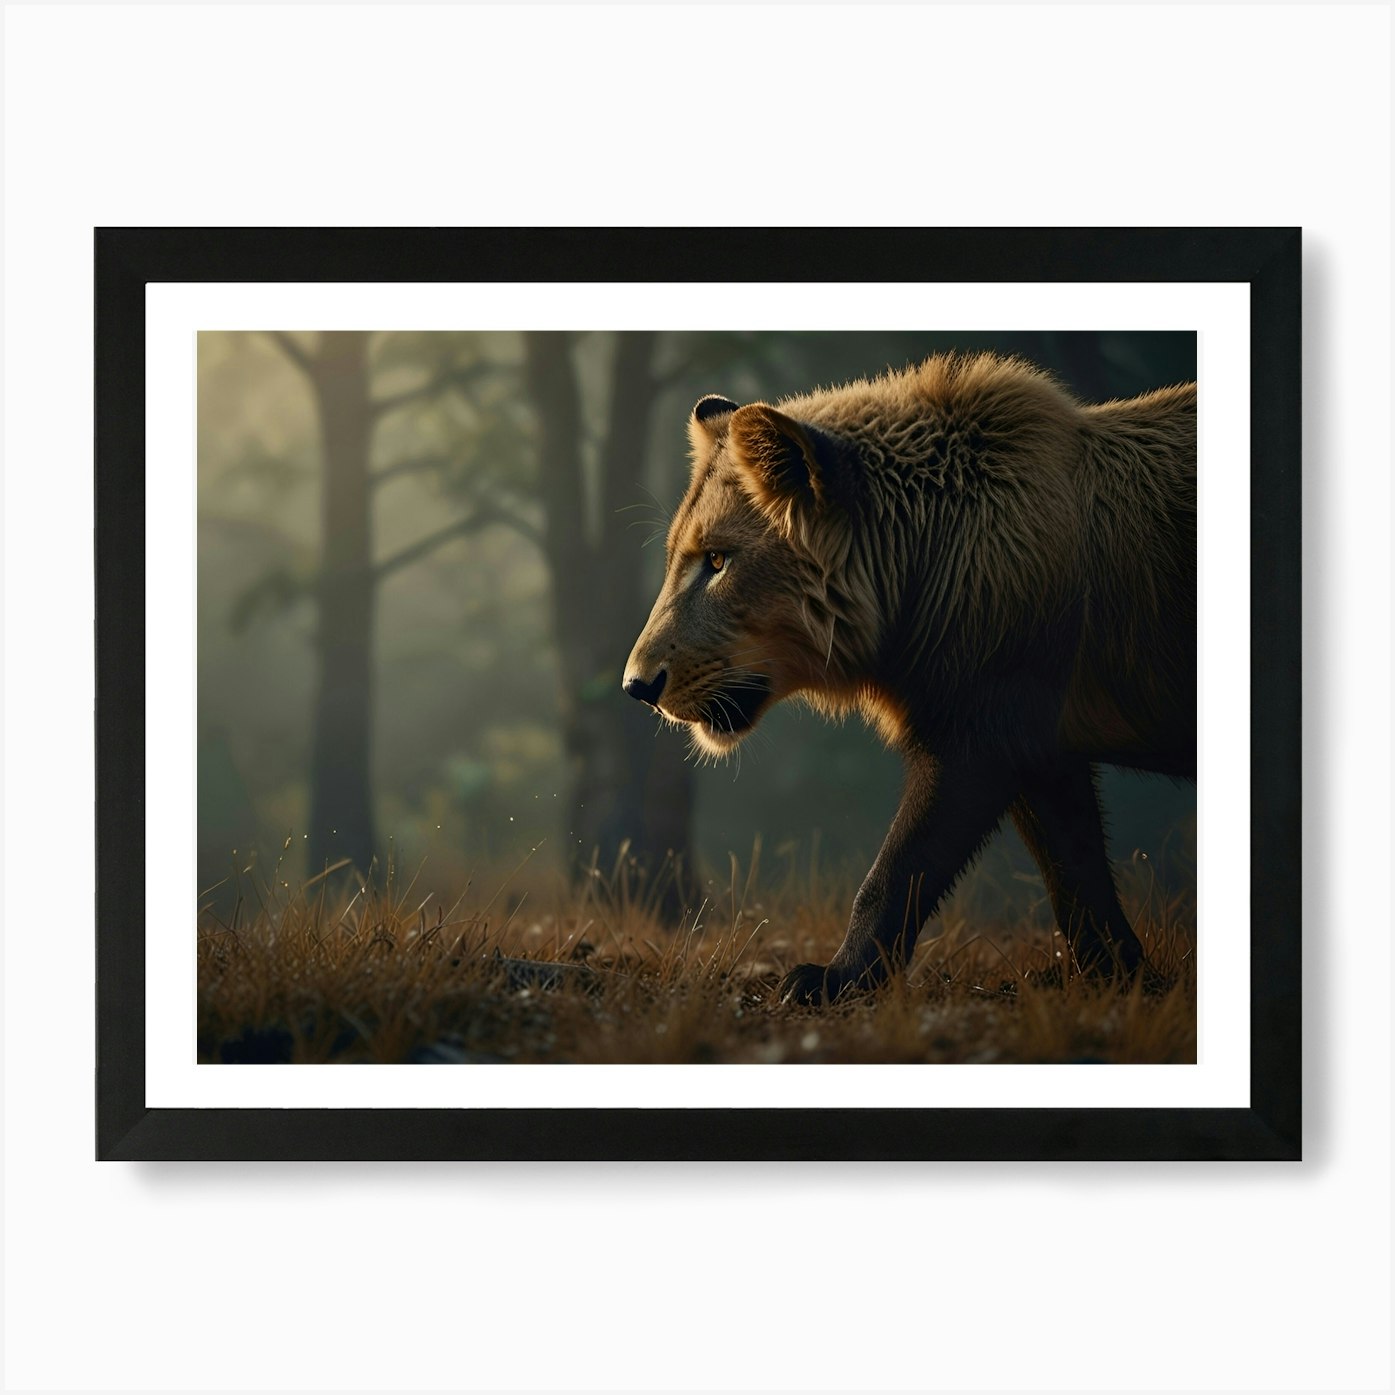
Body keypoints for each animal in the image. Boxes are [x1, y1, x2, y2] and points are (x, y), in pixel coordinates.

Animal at [623, 353, 1196, 1004]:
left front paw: (835, 979)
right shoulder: (1042, 748)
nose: (637, 685)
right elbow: (1075, 871)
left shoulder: (977, 734)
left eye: (717, 561)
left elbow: (895, 872)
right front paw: (1119, 978)